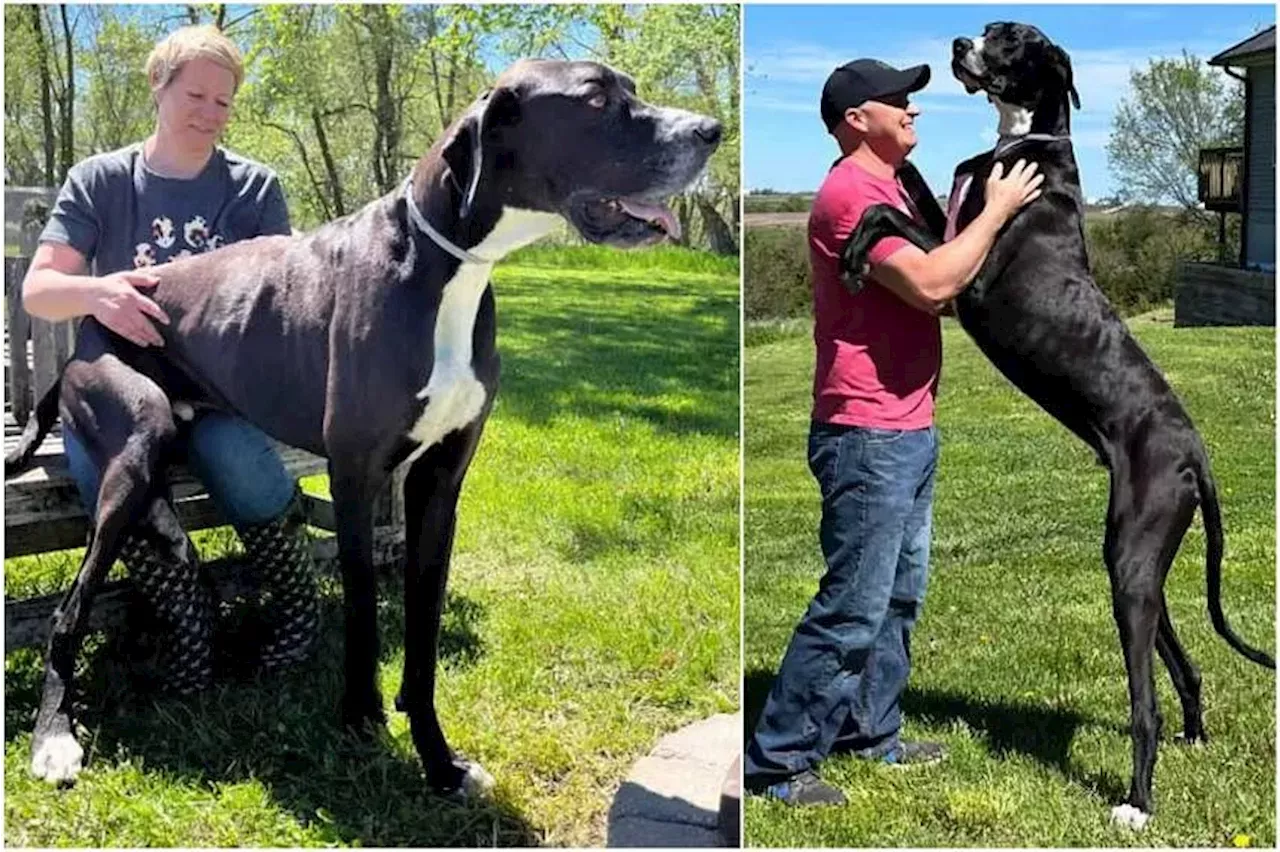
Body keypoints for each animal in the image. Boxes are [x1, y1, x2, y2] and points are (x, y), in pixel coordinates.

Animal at [7, 61, 721, 798]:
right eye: (595, 98)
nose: (711, 131)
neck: (445, 265)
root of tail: (88, 329)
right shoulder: (355, 475)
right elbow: (361, 613)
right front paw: (361, 720)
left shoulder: (439, 483)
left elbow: (423, 629)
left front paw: (438, 758)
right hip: (135, 429)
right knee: (70, 607)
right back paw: (54, 737)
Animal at [839, 21, 1269, 828]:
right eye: (991, 29)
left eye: (1011, 40)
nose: (958, 40)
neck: (1024, 141)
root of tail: (1195, 450)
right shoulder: (951, 229)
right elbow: (909, 193)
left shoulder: (966, 280)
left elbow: (887, 214)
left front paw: (853, 253)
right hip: (1137, 558)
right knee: (1183, 660)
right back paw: (1195, 734)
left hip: (1132, 559)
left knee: (1144, 703)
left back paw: (1136, 804)